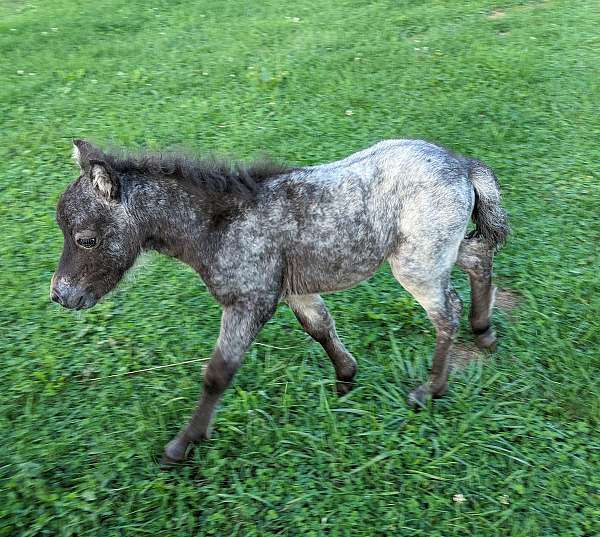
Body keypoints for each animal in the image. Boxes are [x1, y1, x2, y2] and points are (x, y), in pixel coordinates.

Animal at [51, 139, 508, 464]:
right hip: (438, 252)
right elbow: (320, 326)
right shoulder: (294, 291)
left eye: (85, 239)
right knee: (479, 256)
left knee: (446, 312)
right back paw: (484, 331)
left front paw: (182, 445)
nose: (60, 294)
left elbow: (218, 373)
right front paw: (346, 378)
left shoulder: (250, 302)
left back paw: (431, 389)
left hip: (416, 263)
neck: (220, 225)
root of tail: (462, 164)